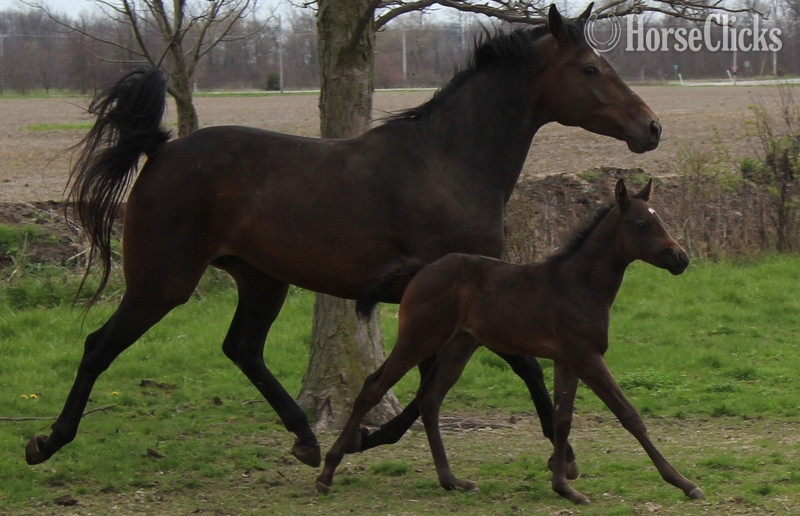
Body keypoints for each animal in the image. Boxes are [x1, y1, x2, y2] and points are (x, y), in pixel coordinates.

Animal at [25, 3, 662, 474]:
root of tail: (159, 150)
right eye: (590, 70)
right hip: (163, 282)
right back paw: (47, 442)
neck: (449, 163)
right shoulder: (465, 293)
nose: (651, 127)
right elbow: (511, 368)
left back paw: (306, 439)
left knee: (242, 348)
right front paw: (567, 455)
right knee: (100, 346)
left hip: (261, 280)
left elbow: (429, 384)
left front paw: (360, 440)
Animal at [317, 179, 702, 504]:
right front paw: (684, 483)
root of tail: (422, 269)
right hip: (419, 338)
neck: (578, 284)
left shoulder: (567, 360)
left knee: (430, 399)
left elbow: (562, 419)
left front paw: (564, 487)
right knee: (373, 386)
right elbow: (628, 414)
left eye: (659, 219)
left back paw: (452, 480)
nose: (681, 258)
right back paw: (327, 472)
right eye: (641, 224)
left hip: (459, 346)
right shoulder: (587, 356)